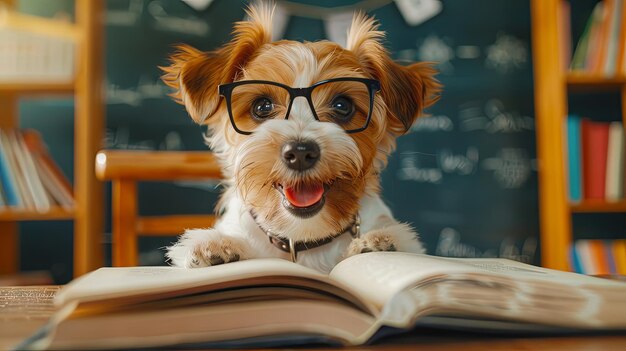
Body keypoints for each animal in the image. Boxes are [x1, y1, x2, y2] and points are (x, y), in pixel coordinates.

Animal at [162, 2, 438, 276]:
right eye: (262, 106)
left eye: (342, 105)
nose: (301, 152)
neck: (302, 234)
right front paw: (218, 244)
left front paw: (378, 241)